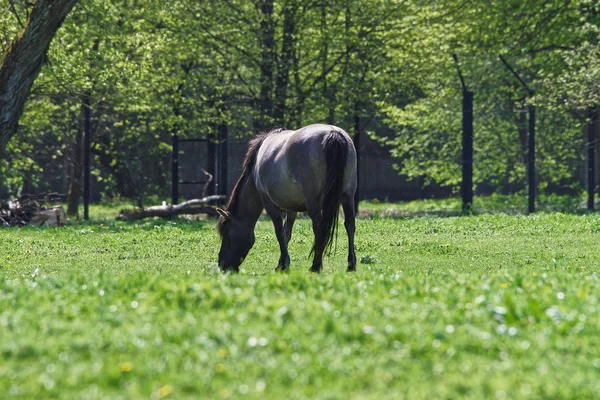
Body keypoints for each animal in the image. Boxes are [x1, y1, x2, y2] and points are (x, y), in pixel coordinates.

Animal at [216, 123, 356, 274]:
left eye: (226, 233)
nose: (222, 265)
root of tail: (333, 133)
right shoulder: (291, 206)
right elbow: (287, 233)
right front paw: (281, 263)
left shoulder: (268, 203)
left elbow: (279, 232)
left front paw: (284, 264)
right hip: (347, 196)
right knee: (349, 225)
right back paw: (351, 265)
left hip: (314, 202)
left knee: (319, 228)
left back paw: (315, 266)